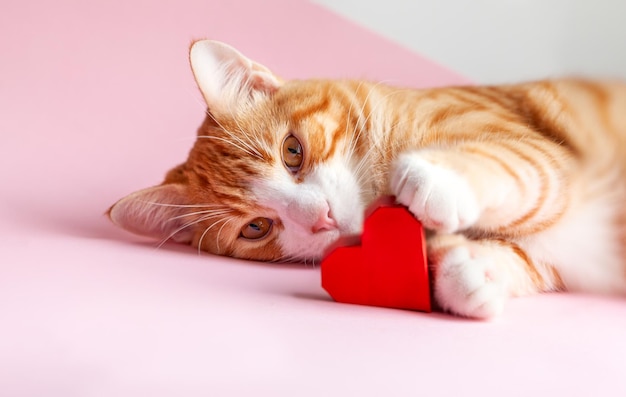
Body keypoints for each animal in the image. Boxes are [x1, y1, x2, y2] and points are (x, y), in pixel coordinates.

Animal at [107, 39, 624, 318]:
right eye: (256, 227)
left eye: (292, 152)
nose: (320, 217)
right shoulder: (563, 241)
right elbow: (529, 251)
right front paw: (470, 272)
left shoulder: (544, 152)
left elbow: (515, 161)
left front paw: (438, 178)